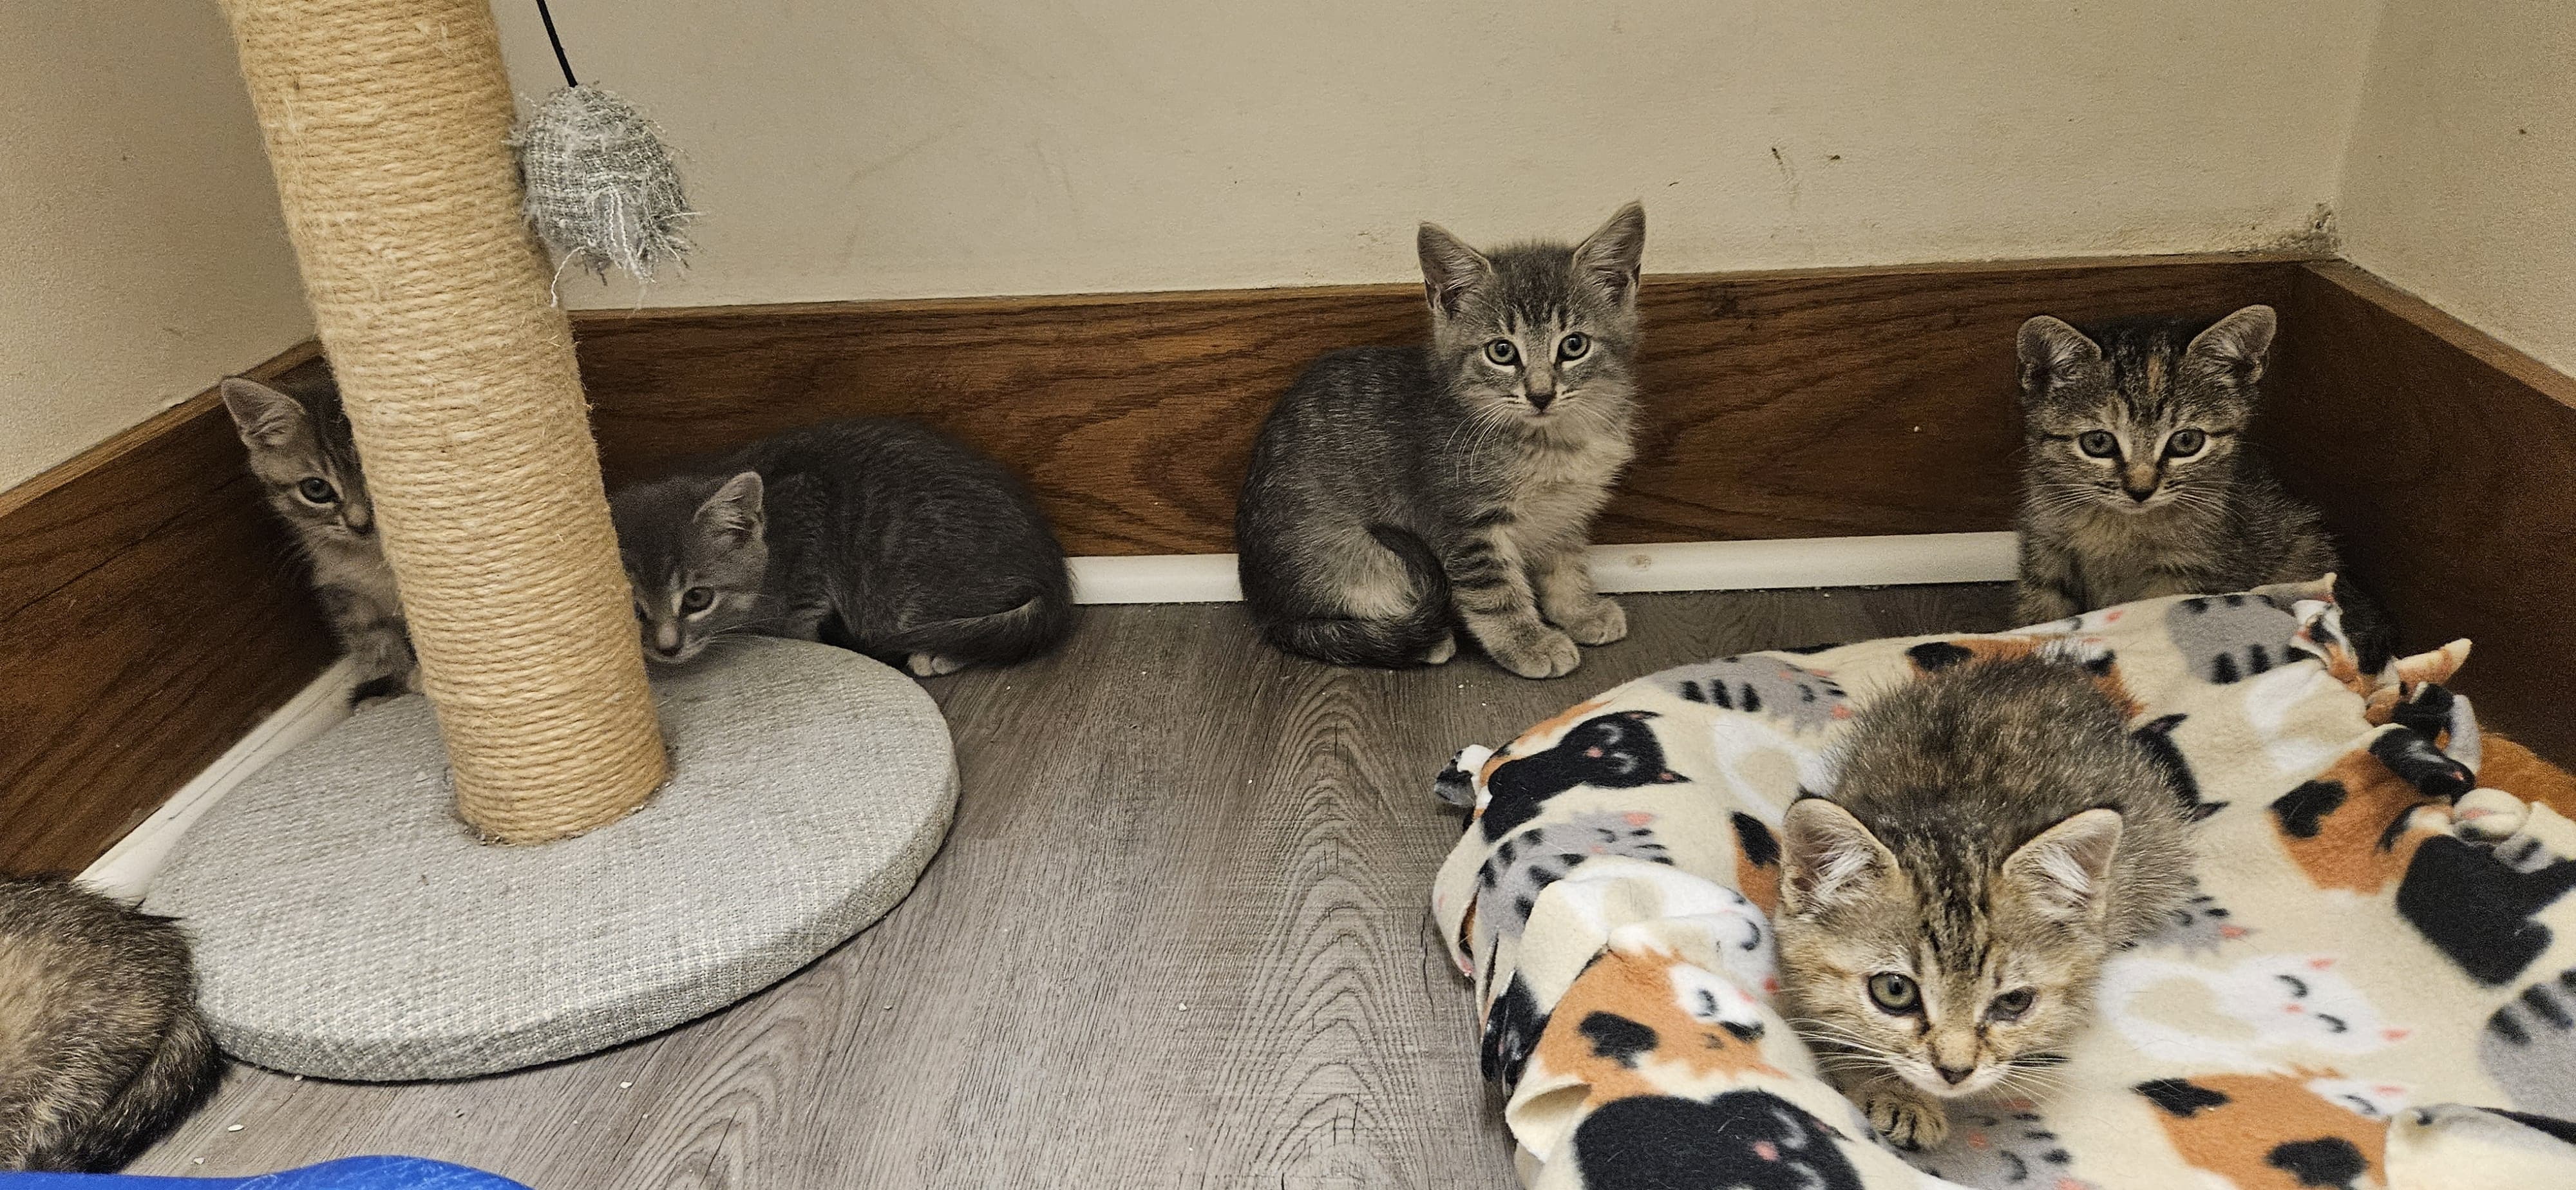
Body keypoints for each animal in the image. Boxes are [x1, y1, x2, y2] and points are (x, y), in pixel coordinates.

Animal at [220, 375, 415, 704]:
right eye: (316, 489)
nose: (360, 525)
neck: (371, 563)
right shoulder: (345, 594)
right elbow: (374, 643)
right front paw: (393, 688)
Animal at [607, 418, 1072, 677]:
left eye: (697, 598)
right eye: (631, 607)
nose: (667, 648)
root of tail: (1051, 573)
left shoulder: (811, 530)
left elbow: (800, 628)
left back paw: (938, 652)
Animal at [1235, 203, 1648, 678]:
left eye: (1574, 345)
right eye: (1501, 351)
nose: (1541, 395)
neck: (1549, 444)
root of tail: (1267, 611)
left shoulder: (1566, 512)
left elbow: (1566, 562)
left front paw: (1580, 610)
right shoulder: (1465, 524)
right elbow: (1495, 593)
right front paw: (1529, 642)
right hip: (1358, 558)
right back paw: (1424, 641)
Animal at [2011, 305, 2393, 672]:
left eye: (2186, 441)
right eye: (2098, 442)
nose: (2141, 491)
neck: (2117, 528)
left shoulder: (2186, 575)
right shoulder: (2046, 552)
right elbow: (2041, 615)